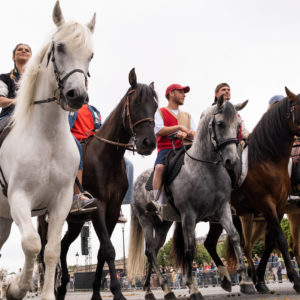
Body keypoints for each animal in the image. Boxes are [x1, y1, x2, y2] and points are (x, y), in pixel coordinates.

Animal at [0, 1, 95, 298]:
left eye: (91, 55)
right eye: (60, 47)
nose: (77, 95)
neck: (47, 138)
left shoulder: (61, 201)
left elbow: (51, 250)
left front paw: (45, 293)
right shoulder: (19, 196)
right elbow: (32, 244)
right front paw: (16, 287)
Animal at [38, 68, 158, 300]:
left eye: (156, 106)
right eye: (136, 102)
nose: (148, 143)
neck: (107, 157)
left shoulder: (111, 210)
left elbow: (103, 251)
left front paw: (96, 293)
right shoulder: (98, 207)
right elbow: (109, 249)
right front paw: (117, 293)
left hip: (75, 222)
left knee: (63, 246)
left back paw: (62, 286)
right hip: (46, 219)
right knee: (46, 248)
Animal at [127, 96, 255, 300]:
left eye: (238, 126)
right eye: (220, 124)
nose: (232, 161)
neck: (206, 168)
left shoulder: (222, 209)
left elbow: (235, 236)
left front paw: (245, 281)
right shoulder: (189, 216)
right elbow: (189, 250)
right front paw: (193, 287)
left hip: (163, 224)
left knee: (154, 250)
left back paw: (154, 289)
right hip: (145, 220)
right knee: (149, 251)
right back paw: (162, 287)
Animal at [204, 88, 300, 294]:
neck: (268, 159)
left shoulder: (279, 207)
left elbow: (270, 242)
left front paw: (261, 280)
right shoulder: (267, 204)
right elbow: (280, 239)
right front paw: (295, 278)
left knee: (215, 243)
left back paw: (234, 279)